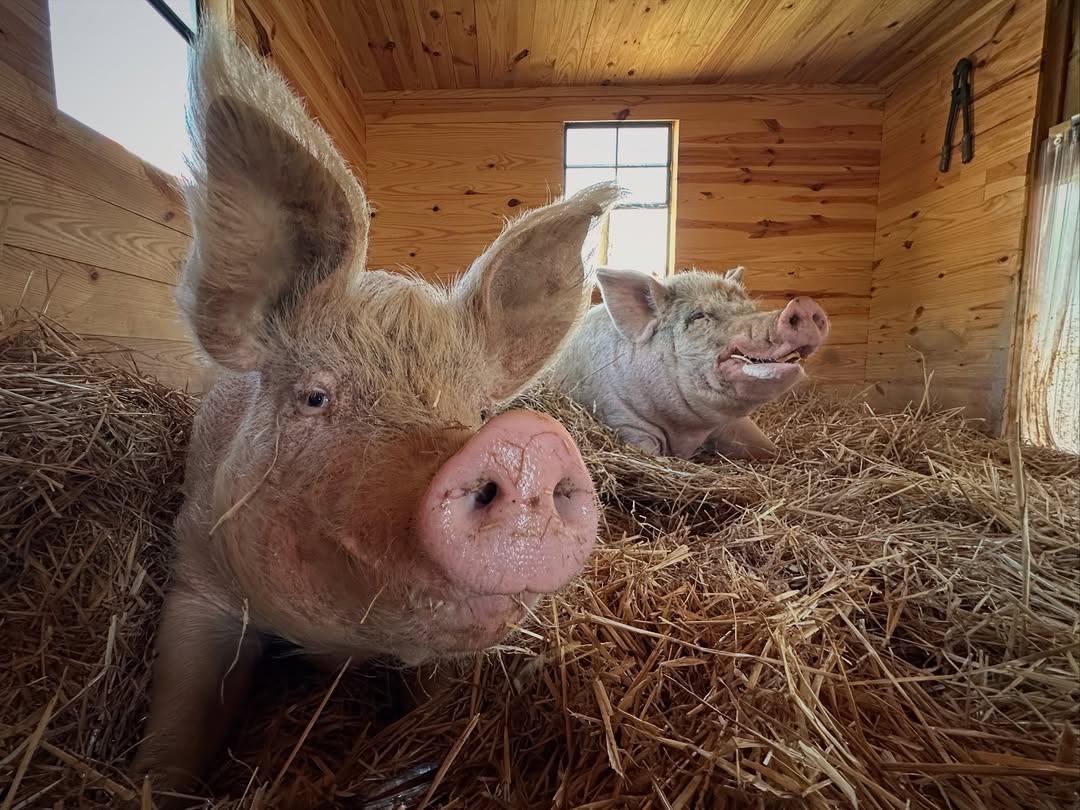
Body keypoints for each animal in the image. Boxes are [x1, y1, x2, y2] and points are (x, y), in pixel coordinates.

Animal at [132, 22, 618, 800]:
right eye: (315, 396)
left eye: (480, 407)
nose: (528, 446)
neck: (336, 646)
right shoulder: (197, 568)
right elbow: (182, 711)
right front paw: (150, 780)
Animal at [548, 266, 830, 460]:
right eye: (699, 316)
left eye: (748, 307)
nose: (804, 304)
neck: (687, 432)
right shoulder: (621, 420)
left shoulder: (732, 424)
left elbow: (766, 447)